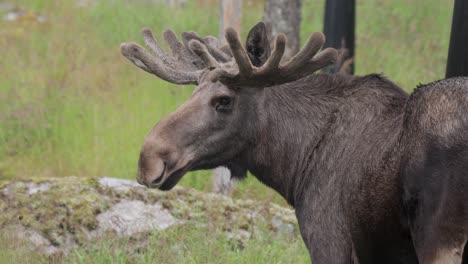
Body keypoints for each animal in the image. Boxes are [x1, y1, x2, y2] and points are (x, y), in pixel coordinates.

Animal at [121, 23, 468, 264]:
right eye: (193, 93)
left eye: (224, 100)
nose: (148, 158)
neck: (294, 166)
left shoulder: (330, 243)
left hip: (440, 242)